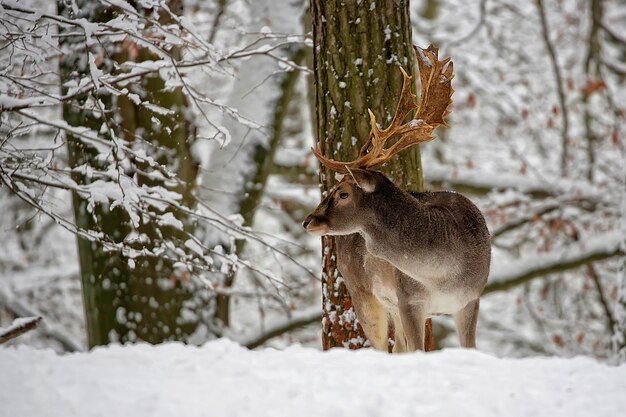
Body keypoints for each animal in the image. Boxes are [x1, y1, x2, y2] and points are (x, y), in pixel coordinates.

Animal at [302, 45, 488, 352]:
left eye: (343, 193)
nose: (308, 221)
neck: (444, 276)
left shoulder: (472, 298)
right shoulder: (409, 298)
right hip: (364, 293)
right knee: (383, 346)